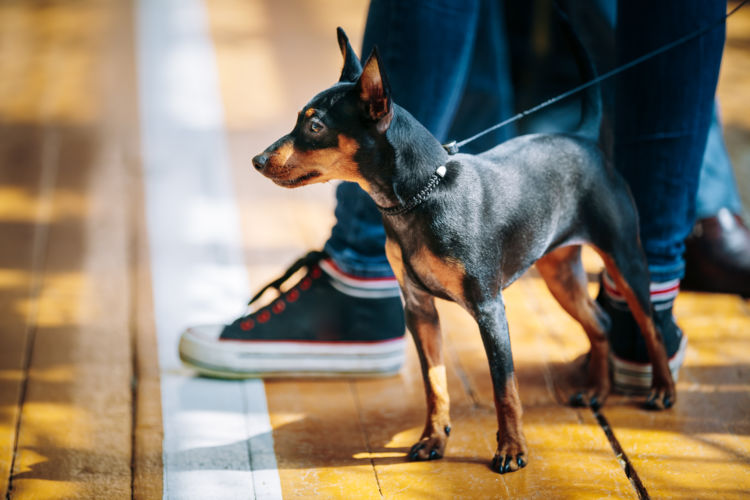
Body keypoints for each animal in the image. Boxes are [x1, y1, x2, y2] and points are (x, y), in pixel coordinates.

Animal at [251, 26, 676, 472]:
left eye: (315, 127)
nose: (257, 160)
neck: (420, 198)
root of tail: (581, 137)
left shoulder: (489, 310)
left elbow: (504, 387)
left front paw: (512, 449)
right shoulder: (419, 309)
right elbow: (434, 383)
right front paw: (433, 439)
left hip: (625, 259)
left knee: (650, 324)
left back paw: (663, 390)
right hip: (559, 274)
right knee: (600, 322)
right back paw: (597, 389)